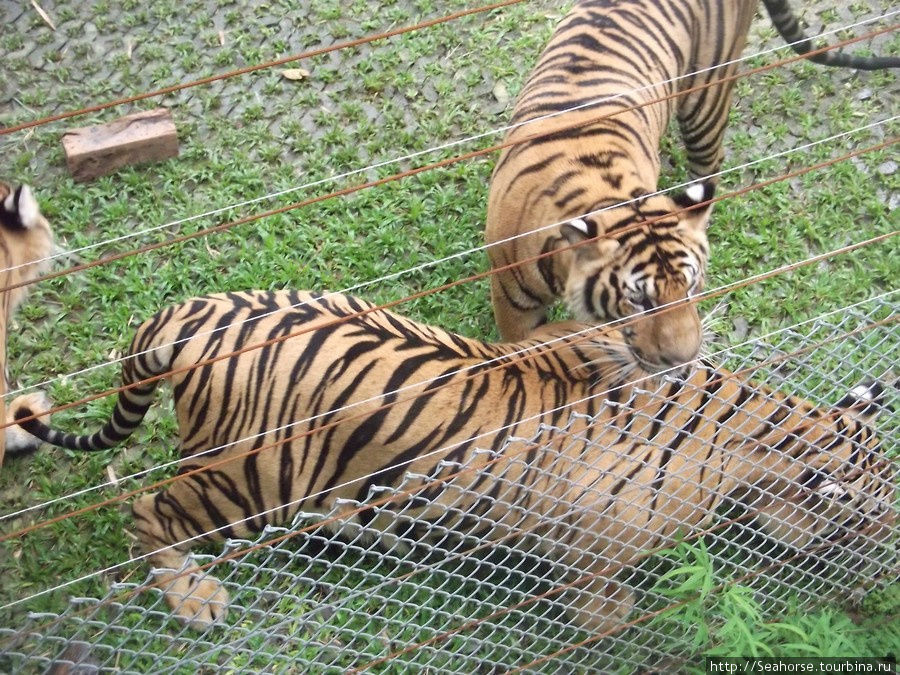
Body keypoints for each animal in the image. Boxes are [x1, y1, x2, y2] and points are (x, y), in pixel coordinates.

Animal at [10, 292, 896, 632]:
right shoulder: (593, 546)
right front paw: (613, 626)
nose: (886, 560)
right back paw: (195, 596)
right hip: (249, 479)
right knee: (148, 509)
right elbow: (600, 601)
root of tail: (187, 311)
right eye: (880, 512)